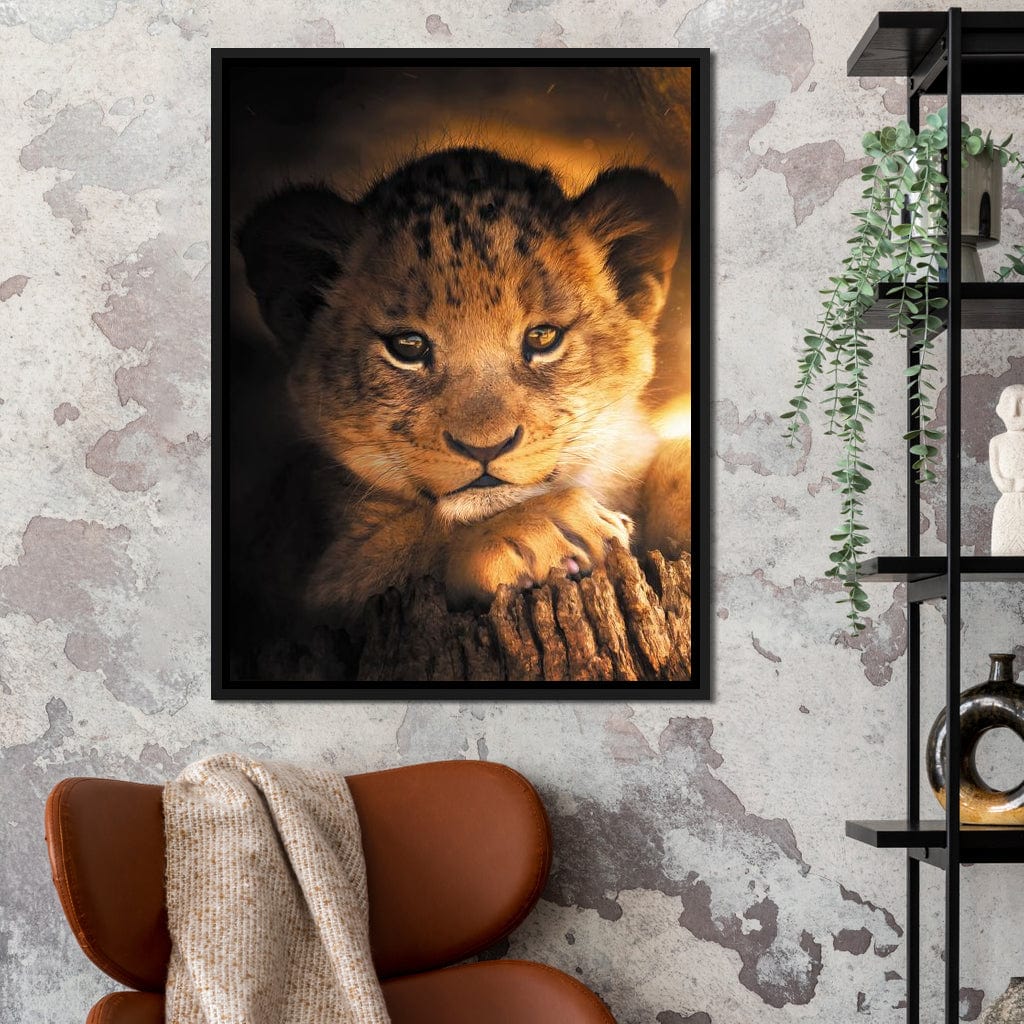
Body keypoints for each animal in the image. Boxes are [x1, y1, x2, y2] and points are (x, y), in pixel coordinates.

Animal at [238, 147, 691, 627]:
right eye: (408, 346)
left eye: (543, 337)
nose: (485, 448)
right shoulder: (307, 588)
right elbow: (406, 547)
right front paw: (542, 529)